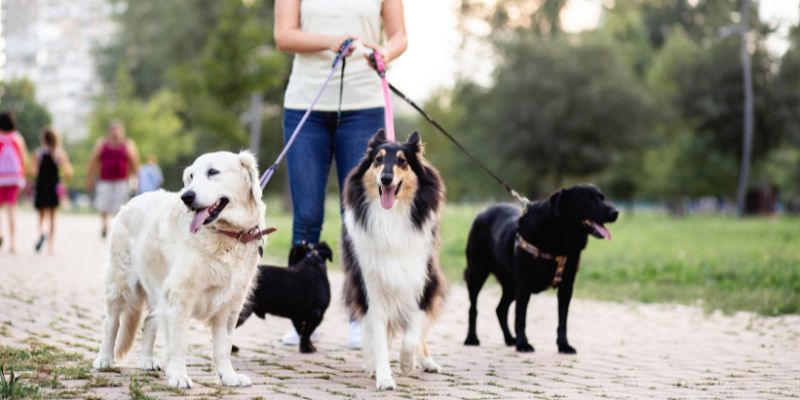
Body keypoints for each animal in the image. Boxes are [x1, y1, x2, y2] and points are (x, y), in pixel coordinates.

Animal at [92, 150, 270, 388]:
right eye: (191, 176)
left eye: (213, 172)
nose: (187, 197)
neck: (227, 234)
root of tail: (133, 199)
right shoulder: (180, 295)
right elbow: (180, 343)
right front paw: (178, 376)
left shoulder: (229, 304)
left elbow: (224, 347)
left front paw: (229, 376)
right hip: (119, 284)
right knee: (111, 323)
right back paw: (104, 359)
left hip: (158, 290)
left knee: (149, 322)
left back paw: (147, 360)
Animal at [462, 184, 620, 354]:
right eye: (589, 201)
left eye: (602, 198)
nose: (616, 212)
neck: (559, 238)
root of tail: (484, 211)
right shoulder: (524, 285)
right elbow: (521, 318)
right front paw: (523, 344)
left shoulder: (566, 287)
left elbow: (563, 322)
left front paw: (564, 345)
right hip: (477, 273)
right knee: (473, 308)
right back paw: (472, 338)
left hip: (511, 286)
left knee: (500, 309)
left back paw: (509, 339)